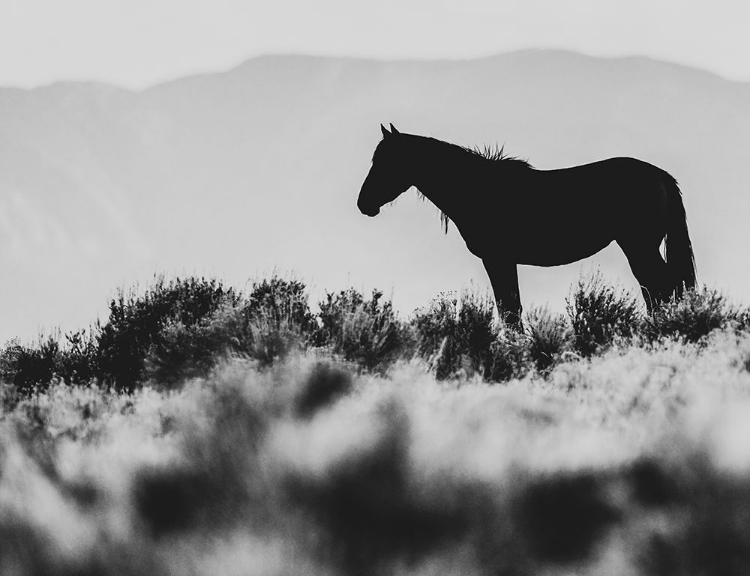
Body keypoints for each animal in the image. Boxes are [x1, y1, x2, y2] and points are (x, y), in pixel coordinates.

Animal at [358, 123, 700, 326]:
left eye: (387, 162)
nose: (364, 204)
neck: (477, 188)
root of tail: (661, 176)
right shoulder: (503, 261)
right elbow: (511, 307)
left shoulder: (497, 259)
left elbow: (509, 310)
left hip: (639, 246)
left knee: (662, 288)